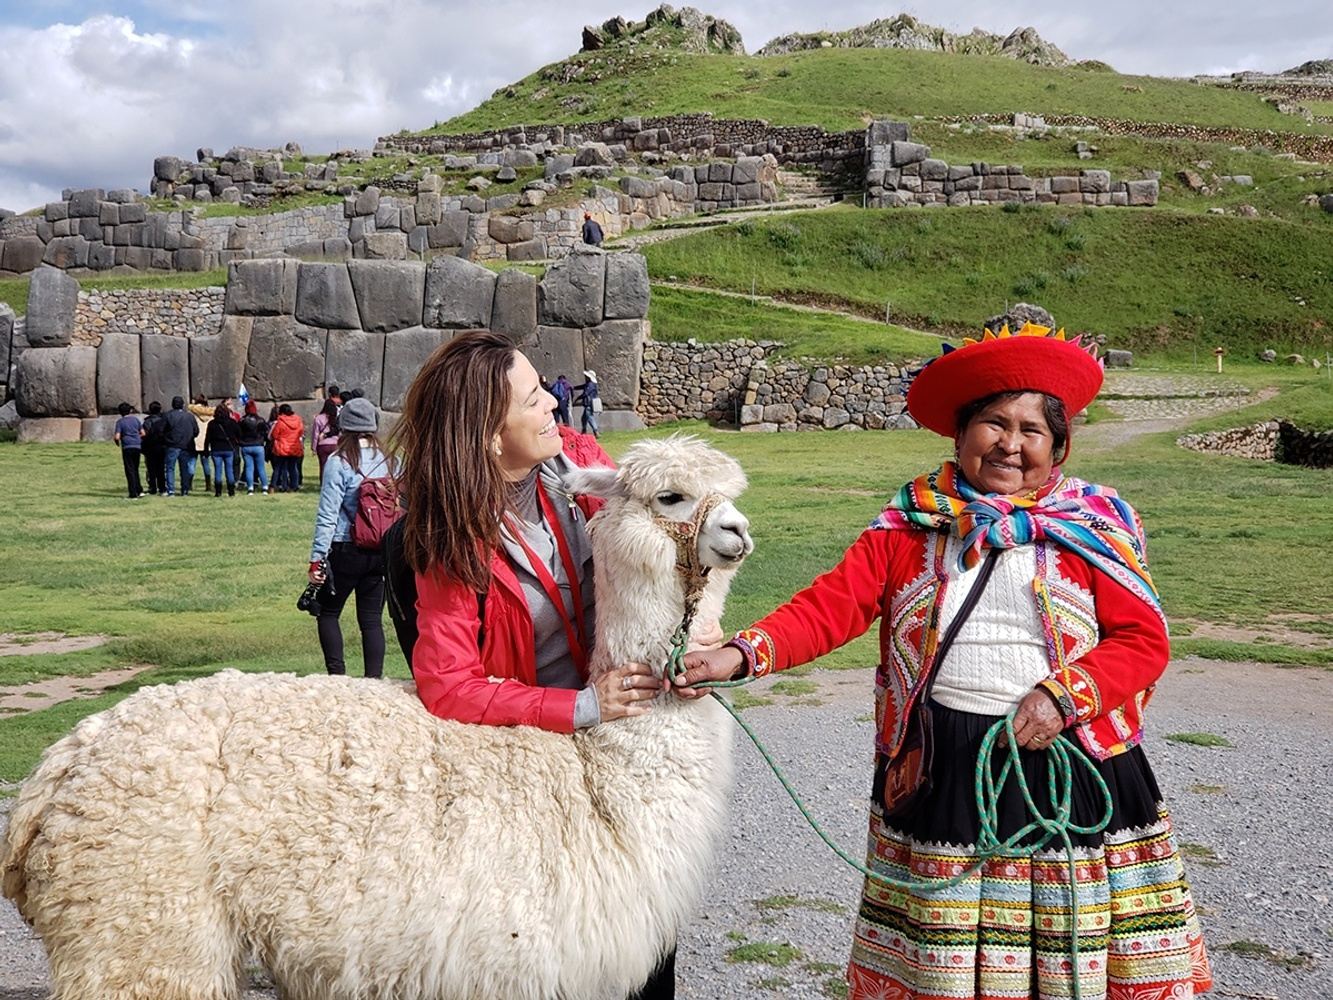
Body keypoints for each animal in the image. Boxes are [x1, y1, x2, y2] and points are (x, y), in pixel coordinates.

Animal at [1, 434, 753, 1000]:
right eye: (670, 496)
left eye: (734, 494)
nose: (739, 531)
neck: (599, 782)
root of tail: (57, 770)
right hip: (141, 920)